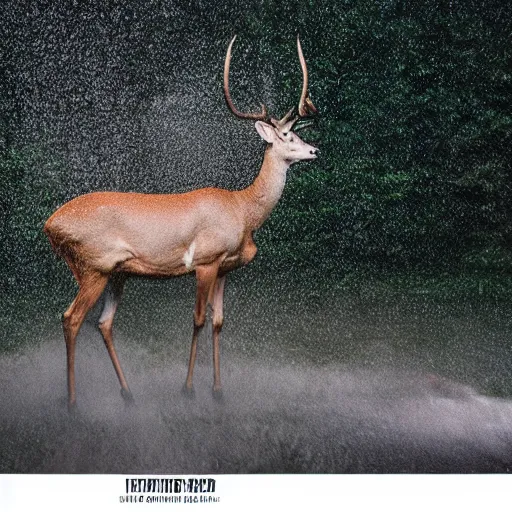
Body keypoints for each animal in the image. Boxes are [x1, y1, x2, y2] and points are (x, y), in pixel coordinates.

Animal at [44, 35, 318, 412]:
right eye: (288, 135)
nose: (315, 151)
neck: (243, 209)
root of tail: (49, 225)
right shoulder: (205, 260)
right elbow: (198, 319)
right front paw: (188, 388)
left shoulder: (225, 267)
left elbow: (218, 321)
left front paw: (218, 390)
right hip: (93, 266)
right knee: (71, 318)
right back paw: (72, 403)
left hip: (115, 273)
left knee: (103, 322)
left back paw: (127, 394)